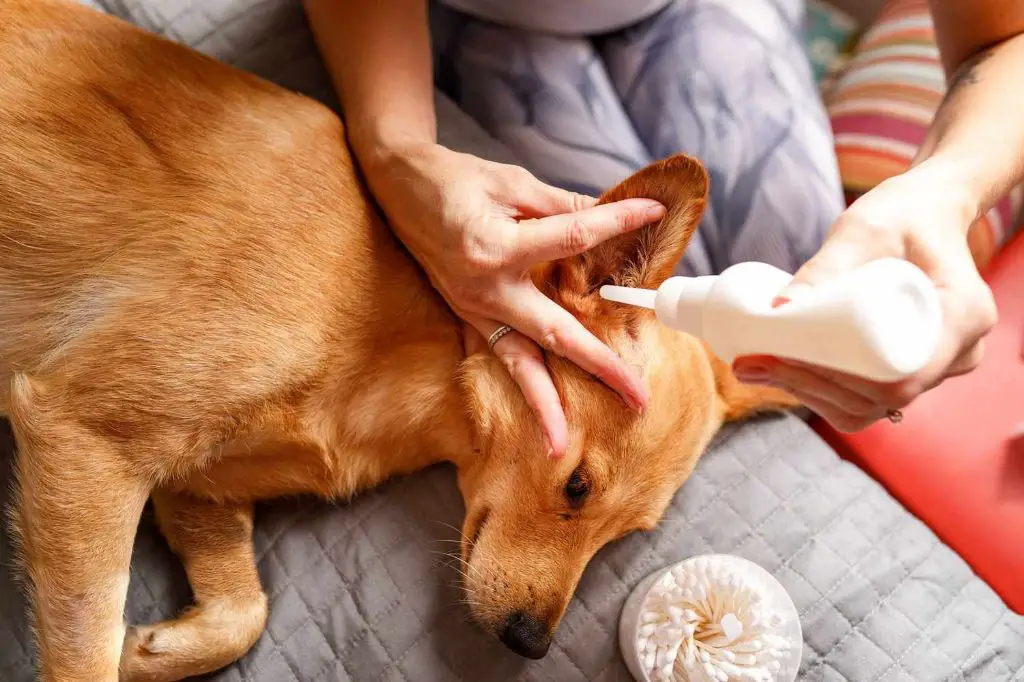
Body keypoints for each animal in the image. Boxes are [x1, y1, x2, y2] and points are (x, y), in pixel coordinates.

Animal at [0, 2, 798, 675]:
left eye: (627, 536)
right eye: (577, 486)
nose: (530, 646)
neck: (420, 352)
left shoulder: (192, 486)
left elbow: (243, 614)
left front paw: (152, 648)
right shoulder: (88, 438)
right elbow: (85, 651)